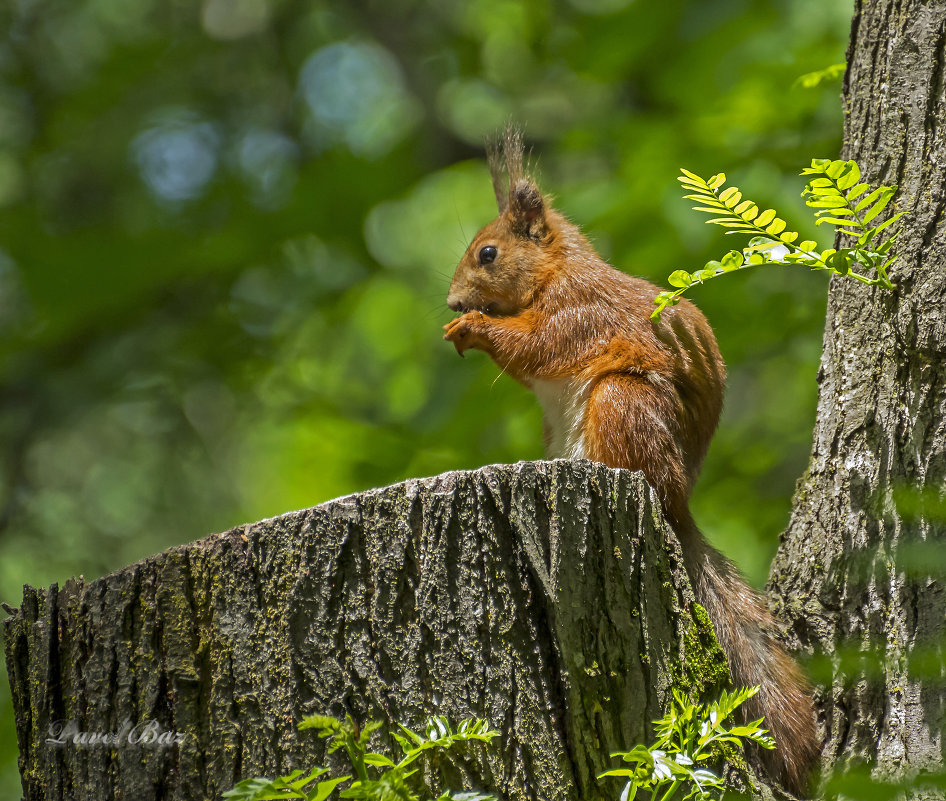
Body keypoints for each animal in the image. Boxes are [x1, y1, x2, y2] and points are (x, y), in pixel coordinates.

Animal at [442, 126, 820, 792]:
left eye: (487, 254)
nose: (452, 300)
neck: (556, 272)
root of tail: (676, 498)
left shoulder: (578, 313)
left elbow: (535, 346)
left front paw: (473, 330)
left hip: (625, 404)